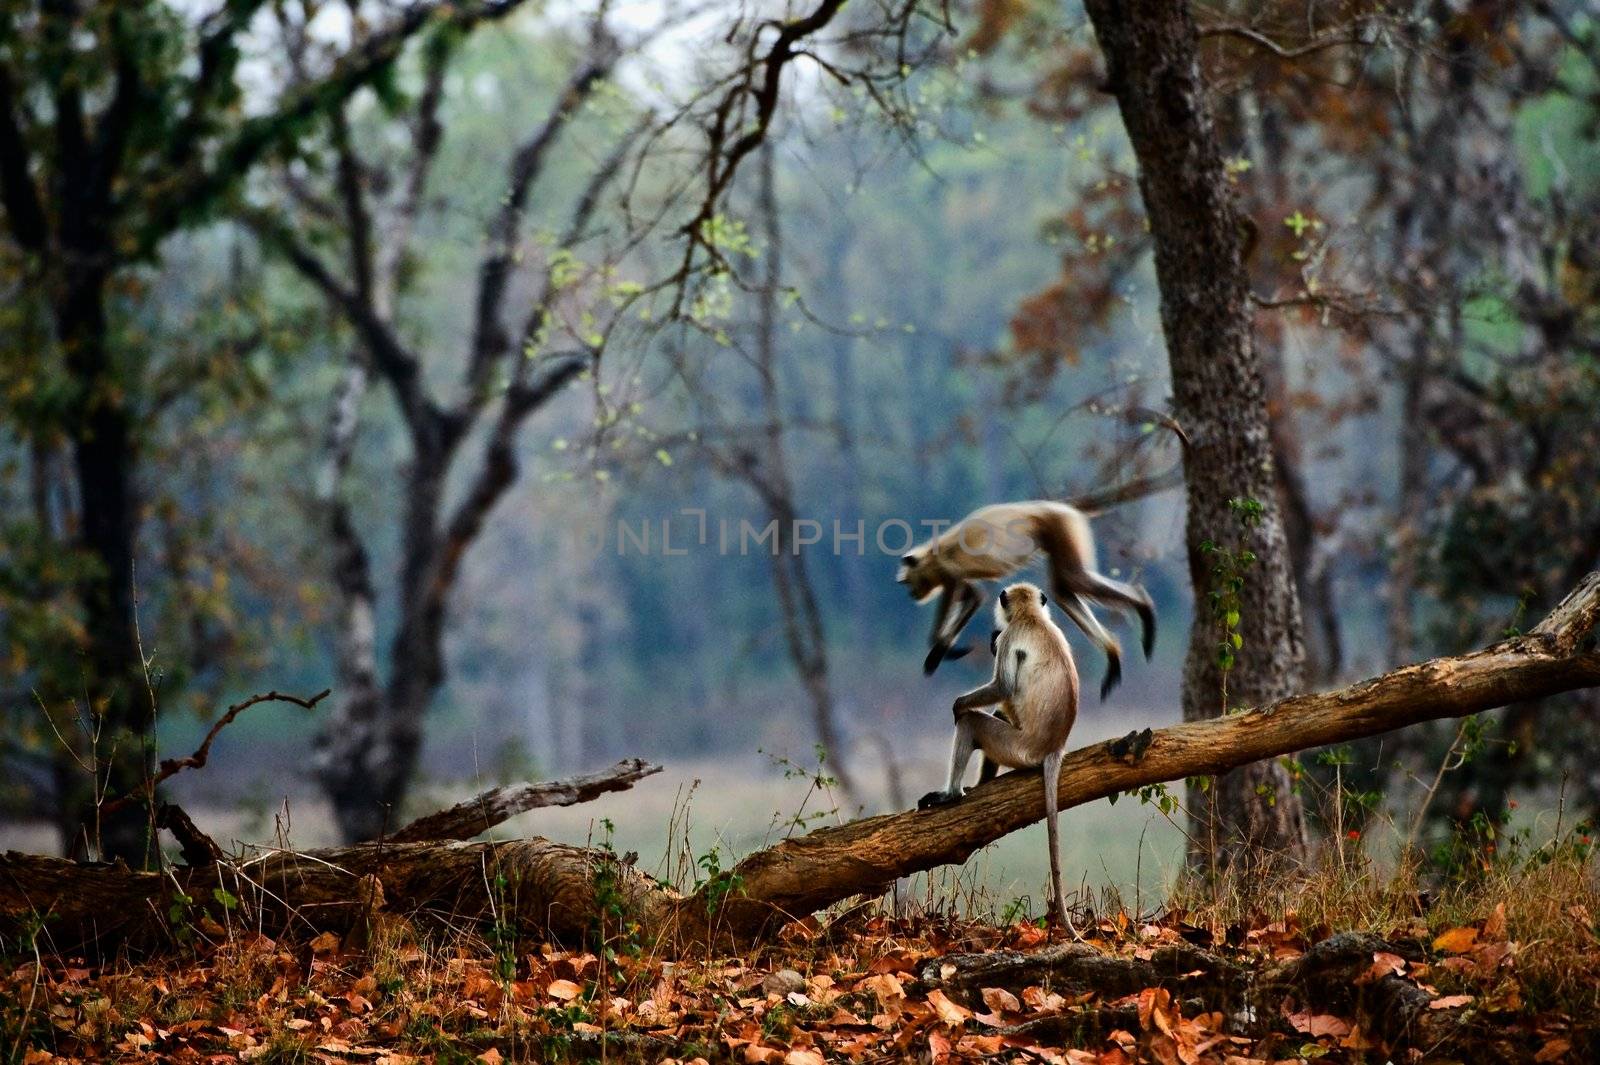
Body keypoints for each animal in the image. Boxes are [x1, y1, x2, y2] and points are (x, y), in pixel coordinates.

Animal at [896, 498, 1158, 697]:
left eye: (908, 582)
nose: (910, 592)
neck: (933, 554)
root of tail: (1060, 507)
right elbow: (973, 597)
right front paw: (948, 650)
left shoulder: (949, 572)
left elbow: (970, 597)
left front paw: (939, 649)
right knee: (1063, 588)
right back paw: (1114, 651)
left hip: (1061, 526)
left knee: (1073, 579)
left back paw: (1143, 607)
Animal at [921, 585, 1081, 927]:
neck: (1032, 617)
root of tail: (1054, 747)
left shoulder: (1009, 636)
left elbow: (1003, 687)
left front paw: (959, 704)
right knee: (995, 714)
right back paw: (980, 785)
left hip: (1016, 747)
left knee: (973, 722)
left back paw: (951, 795)